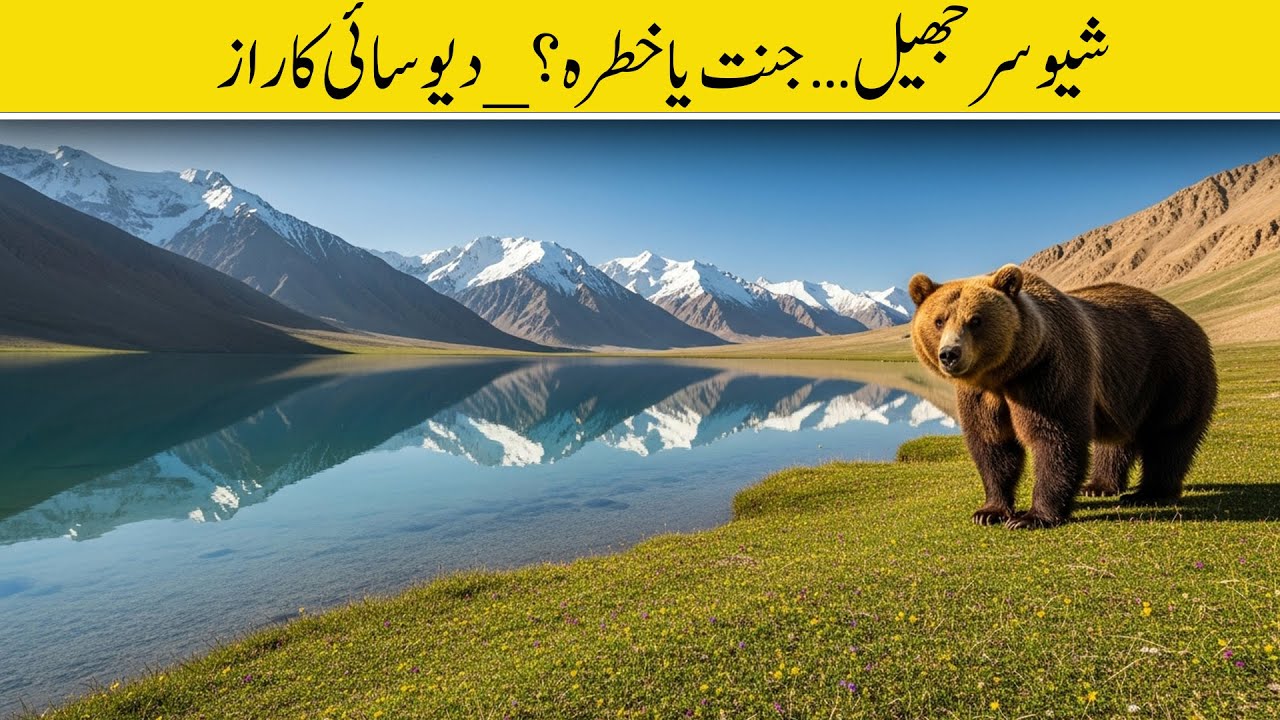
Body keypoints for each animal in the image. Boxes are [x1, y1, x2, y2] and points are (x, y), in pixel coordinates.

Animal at [908, 264, 1217, 529]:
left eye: (975, 320)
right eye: (939, 320)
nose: (950, 354)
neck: (1004, 375)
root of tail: (1193, 323)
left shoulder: (1048, 372)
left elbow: (1055, 438)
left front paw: (1032, 517)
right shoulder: (981, 395)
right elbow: (992, 444)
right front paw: (989, 511)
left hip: (1173, 376)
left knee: (1168, 437)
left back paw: (1149, 492)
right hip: (1128, 392)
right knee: (1115, 441)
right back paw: (1099, 486)